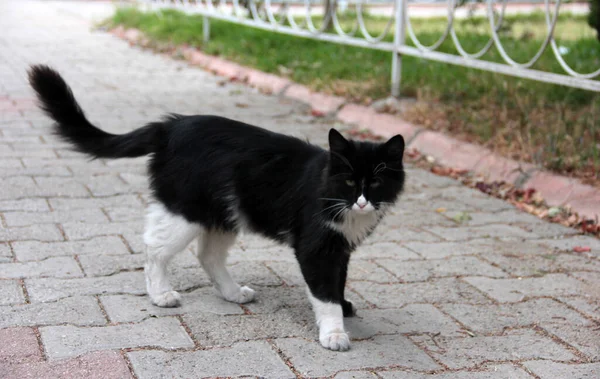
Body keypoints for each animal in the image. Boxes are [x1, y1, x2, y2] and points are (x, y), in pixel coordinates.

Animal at [27, 63, 404, 352]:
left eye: (376, 182)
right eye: (350, 181)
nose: (362, 201)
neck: (333, 195)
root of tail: (171, 125)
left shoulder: (340, 248)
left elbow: (338, 282)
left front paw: (343, 307)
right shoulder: (316, 247)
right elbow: (324, 294)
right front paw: (334, 332)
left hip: (225, 212)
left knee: (207, 255)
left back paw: (233, 293)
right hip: (186, 209)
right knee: (154, 249)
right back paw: (160, 294)